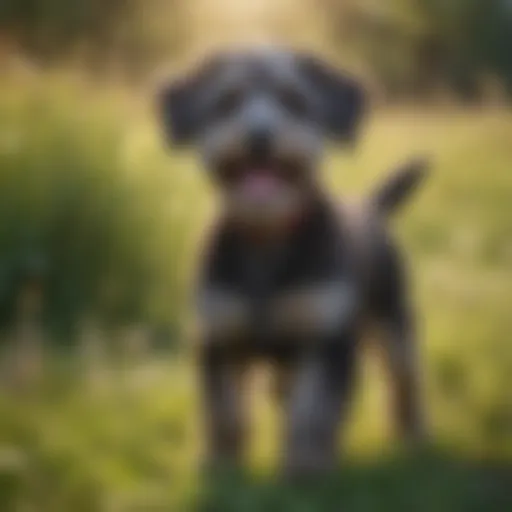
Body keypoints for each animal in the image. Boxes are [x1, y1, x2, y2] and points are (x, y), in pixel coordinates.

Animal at [157, 47, 428, 480]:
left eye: (294, 100)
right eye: (227, 101)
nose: (259, 137)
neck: (266, 236)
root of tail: (370, 206)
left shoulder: (325, 338)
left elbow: (313, 409)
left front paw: (306, 467)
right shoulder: (218, 337)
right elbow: (224, 411)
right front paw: (222, 466)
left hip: (394, 322)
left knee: (406, 381)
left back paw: (416, 438)